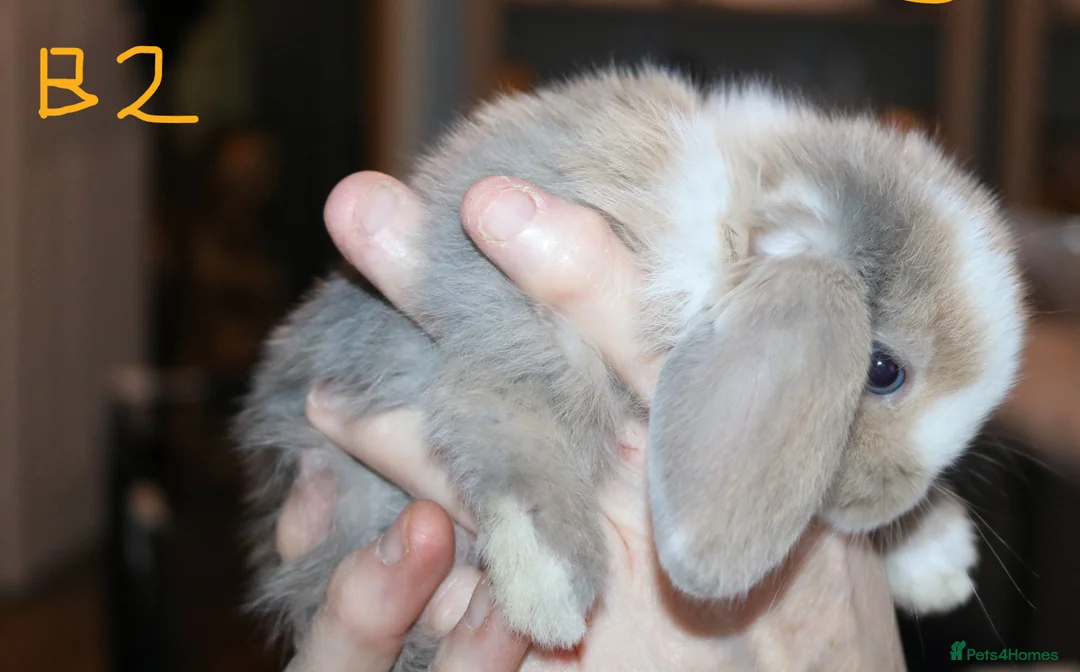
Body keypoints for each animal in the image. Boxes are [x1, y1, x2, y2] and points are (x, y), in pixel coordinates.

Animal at [233, 64, 1027, 670]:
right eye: (883, 371)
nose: (892, 502)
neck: (725, 216)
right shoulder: (509, 314)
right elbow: (512, 419)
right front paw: (549, 587)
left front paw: (936, 555)